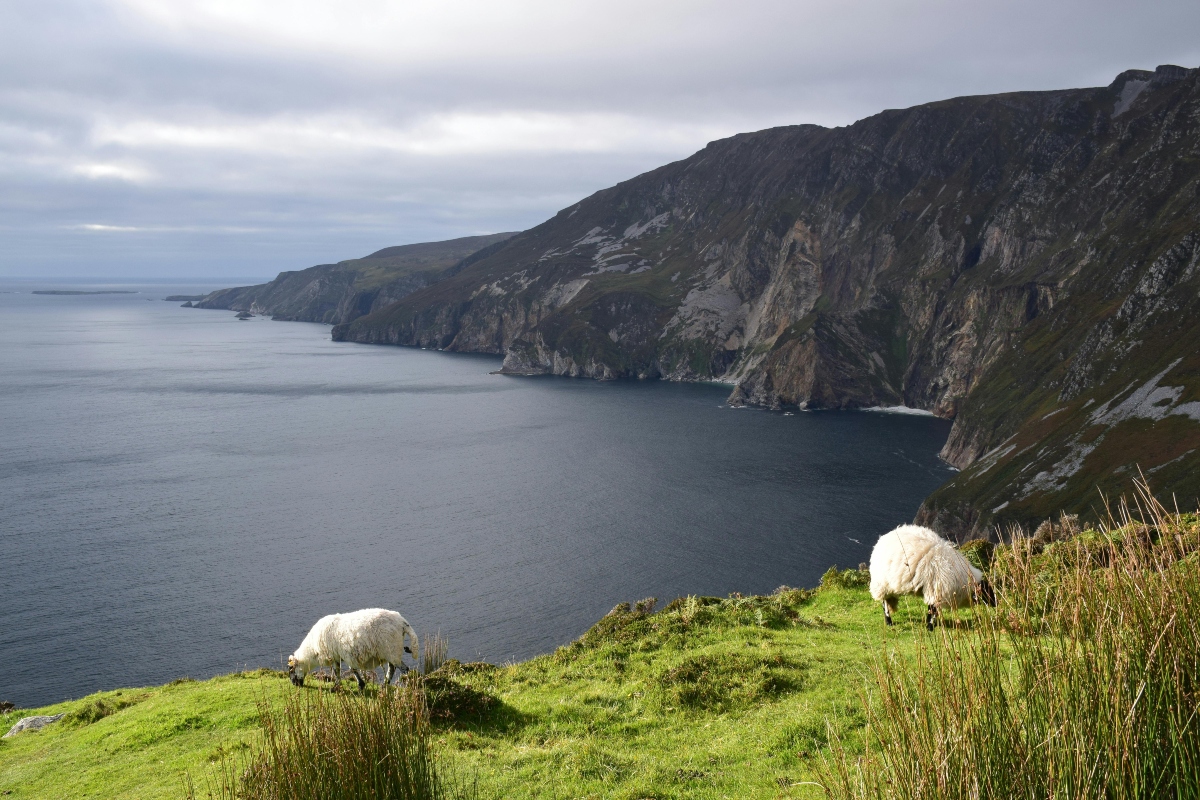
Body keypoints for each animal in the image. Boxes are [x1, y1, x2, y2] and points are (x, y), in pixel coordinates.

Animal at [288, 606, 420, 690]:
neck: (313, 650)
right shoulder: (340, 655)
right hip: (390, 652)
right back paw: (384, 685)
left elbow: (340, 671)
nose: (294, 684)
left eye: (291, 669)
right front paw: (359, 684)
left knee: (404, 669)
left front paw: (337, 686)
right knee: (392, 668)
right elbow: (346, 670)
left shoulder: (336, 655)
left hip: (392, 649)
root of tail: (402, 622)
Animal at [868, 525, 998, 633]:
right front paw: (930, 627)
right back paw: (889, 621)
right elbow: (932, 611)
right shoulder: (937, 590)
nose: (996, 603)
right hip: (882, 583)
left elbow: (932, 610)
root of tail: (884, 537)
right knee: (885, 603)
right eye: (987, 591)